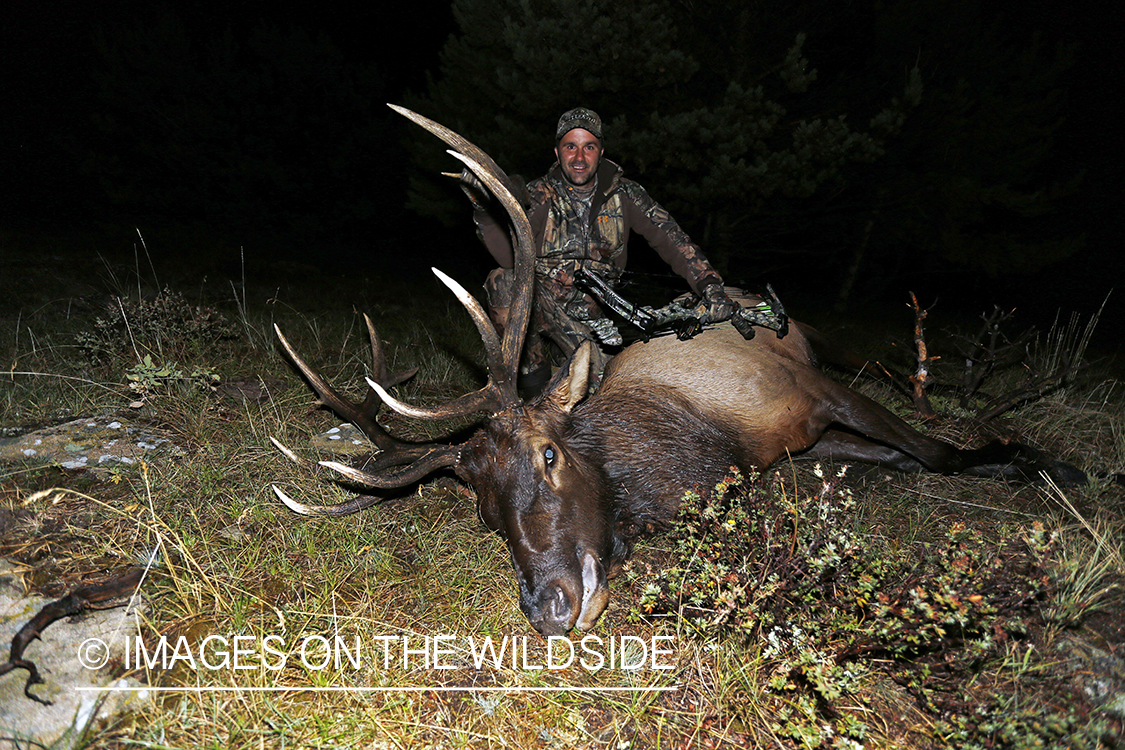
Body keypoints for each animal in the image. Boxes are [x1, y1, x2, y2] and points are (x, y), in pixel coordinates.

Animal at [271, 106, 1087, 636]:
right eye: (482, 509)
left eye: (549, 454)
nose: (550, 608)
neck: (709, 441)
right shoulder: (805, 440)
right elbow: (915, 459)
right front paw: (1013, 460)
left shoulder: (814, 391)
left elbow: (940, 453)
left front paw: (1048, 462)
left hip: (823, 343)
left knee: (886, 363)